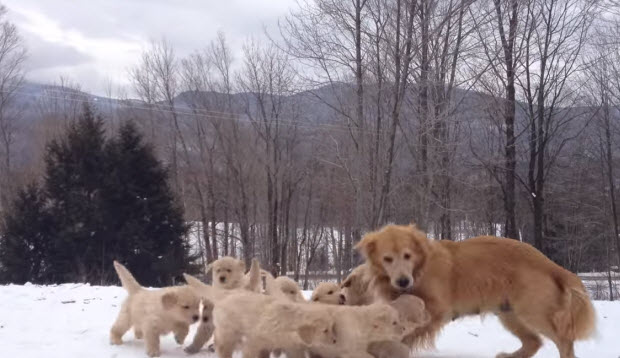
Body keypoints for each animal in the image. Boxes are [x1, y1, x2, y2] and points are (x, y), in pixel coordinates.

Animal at [358, 224, 596, 358]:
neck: (420, 268)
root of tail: (549, 263)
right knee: (533, 342)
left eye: (407, 255)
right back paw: (510, 356)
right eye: (387, 259)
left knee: (564, 340)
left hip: (533, 311)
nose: (402, 281)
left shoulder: (436, 310)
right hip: (509, 313)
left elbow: (407, 334)